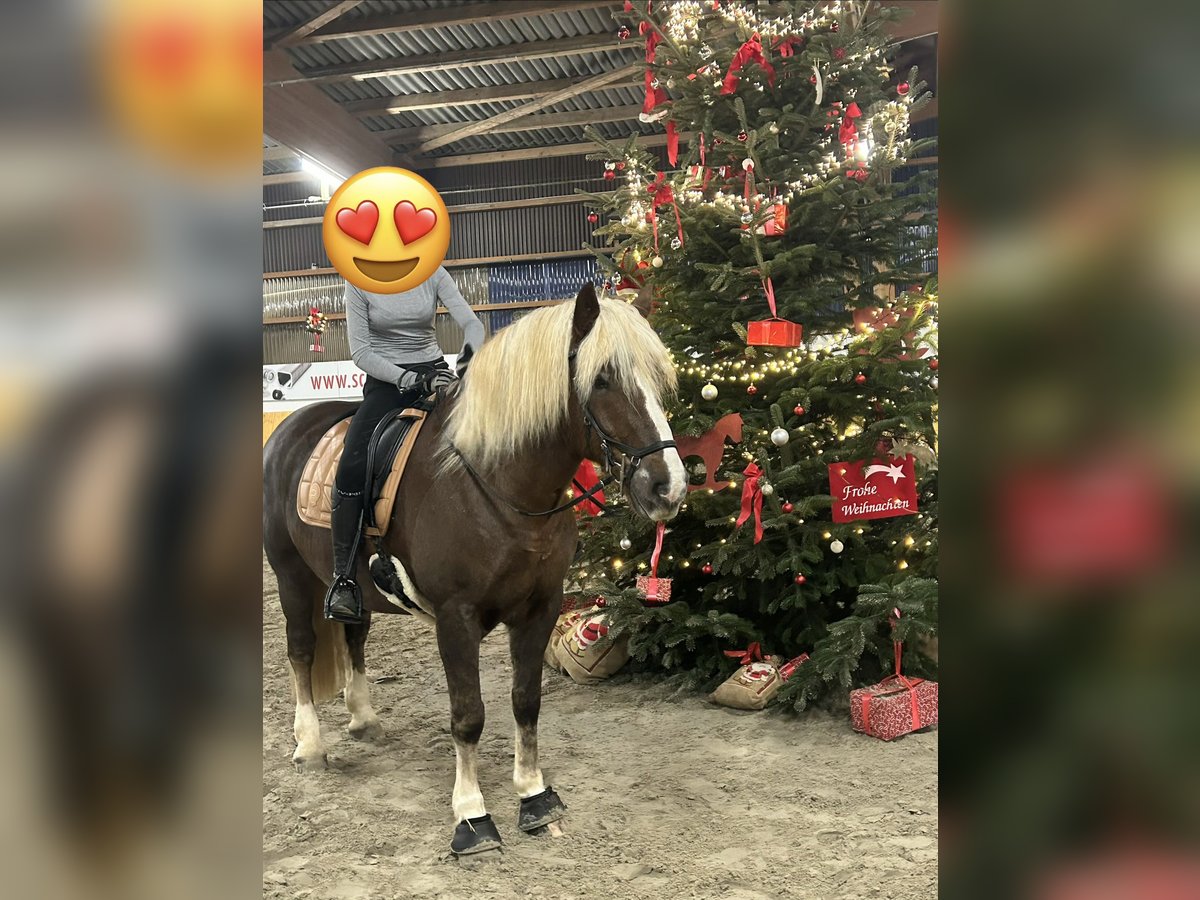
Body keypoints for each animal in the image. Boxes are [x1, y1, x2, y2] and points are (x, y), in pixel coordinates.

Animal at [262, 283, 687, 855]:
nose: (669, 486)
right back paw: (309, 745)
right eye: (601, 379)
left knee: (354, 637)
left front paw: (533, 795)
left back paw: (364, 719)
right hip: (290, 575)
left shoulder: (541, 606)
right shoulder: (455, 617)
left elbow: (526, 701)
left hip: (347, 584)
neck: (498, 486)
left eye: (658, 378)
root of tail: (289, 428)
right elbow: (468, 715)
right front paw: (471, 817)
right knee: (302, 650)